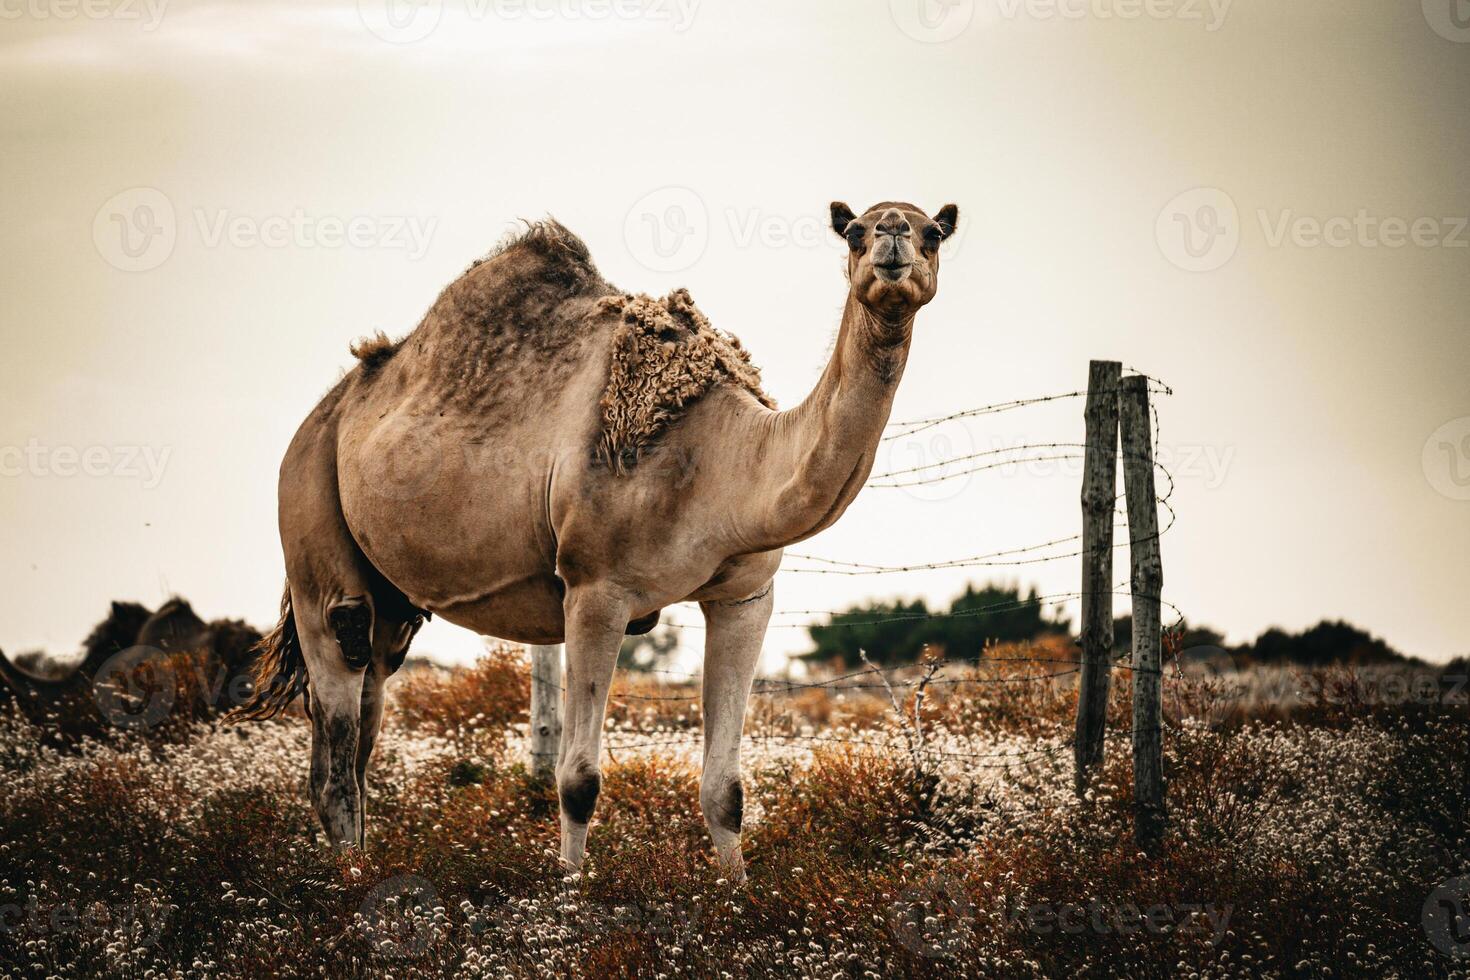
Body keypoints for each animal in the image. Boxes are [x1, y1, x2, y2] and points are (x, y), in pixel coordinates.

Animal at [235, 195, 958, 875]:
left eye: (934, 233)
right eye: (855, 231)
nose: (893, 239)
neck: (721, 453)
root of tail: (323, 417)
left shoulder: (747, 593)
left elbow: (726, 787)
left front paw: (738, 899)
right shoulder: (595, 588)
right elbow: (578, 779)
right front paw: (570, 899)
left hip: (393, 602)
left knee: (363, 724)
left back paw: (363, 865)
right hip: (310, 518)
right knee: (337, 706)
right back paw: (350, 885)